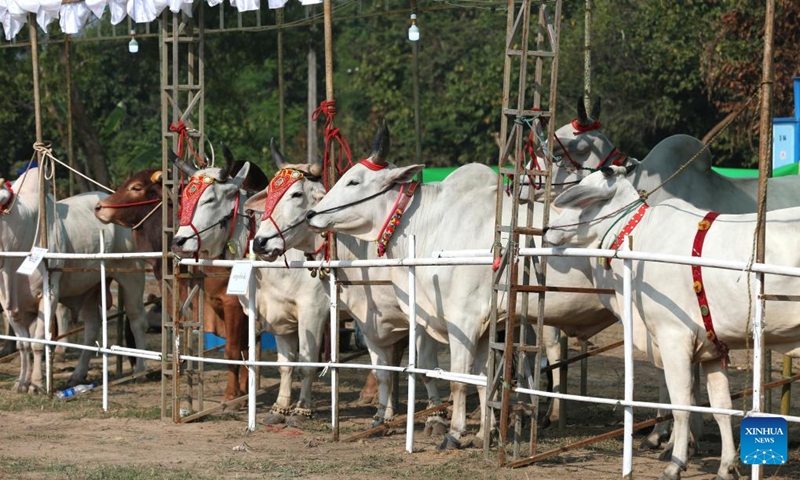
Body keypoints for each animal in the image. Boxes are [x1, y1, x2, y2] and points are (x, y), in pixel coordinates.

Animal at [0, 167, 148, 392]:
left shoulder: (49, 292)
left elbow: (37, 343)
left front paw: (37, 383)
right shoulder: (8, 304)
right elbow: (23, 344)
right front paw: (21, 382)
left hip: (132, 274)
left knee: (136, 319)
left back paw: (139, 370)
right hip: (88, 289)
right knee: (93, 327)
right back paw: (77, 375)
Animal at [170, 158, 330, 424]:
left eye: (209, 199)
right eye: (183, 198)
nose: (178, 241)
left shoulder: (312, 310)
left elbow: (237, 351)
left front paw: (233, 398)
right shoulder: (267, 310)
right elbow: (262, 354)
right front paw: (251, 398)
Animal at [304, 122, 616, 448]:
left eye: (354, 181)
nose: (311, 215)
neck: (433, 224)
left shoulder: (463, 321)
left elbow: (458, 380)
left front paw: (454, 433)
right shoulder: (484, 327)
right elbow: (482, 380)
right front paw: (482, 433)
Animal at [544, 164, 800, 476]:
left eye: (581, 199)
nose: (547, 230)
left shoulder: (673, 338)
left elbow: (682, 405)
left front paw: (675, 464)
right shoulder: (713, 349)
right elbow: (720, 406)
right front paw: (726, 466)